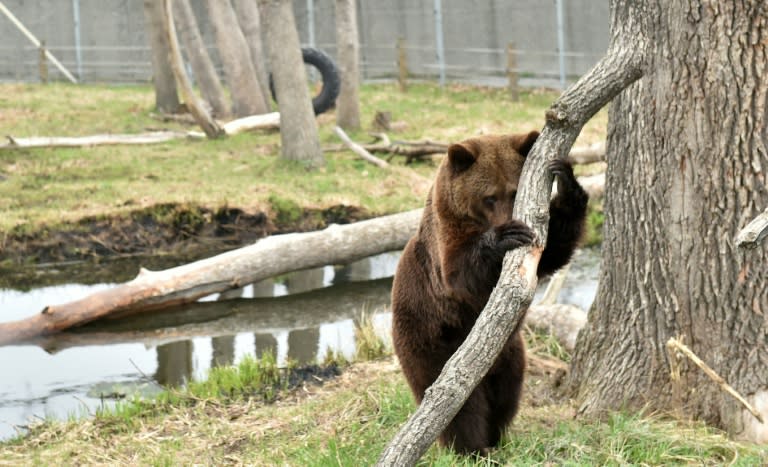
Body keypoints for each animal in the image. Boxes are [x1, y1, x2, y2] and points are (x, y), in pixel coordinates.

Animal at [392, 130, 584, 456]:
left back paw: (496, 437)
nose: (508, 220)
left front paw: (566, 180)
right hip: (433, 342)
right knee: (461, 408)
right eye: (489, 197)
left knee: (506, 395)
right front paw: (503, 236)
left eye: (515, 190)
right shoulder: (445, 238)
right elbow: (459, 274)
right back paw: (472, 448)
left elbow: (554, 248)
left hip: (509, 354)